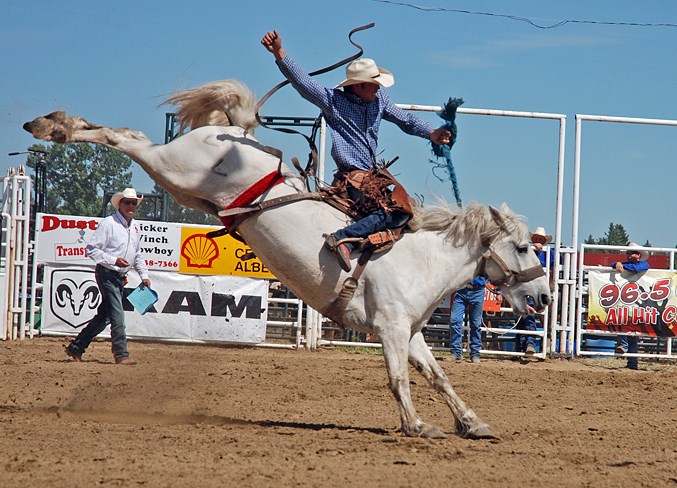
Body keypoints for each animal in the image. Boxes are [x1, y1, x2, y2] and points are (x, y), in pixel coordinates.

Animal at [23, 79, 552, 438]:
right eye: (524, 247)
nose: (545, 297)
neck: (422, 259)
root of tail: (235, 133)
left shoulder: (411, 331)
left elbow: (437, 375)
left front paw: (472, 422)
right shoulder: (391, 330)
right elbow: (400, 379)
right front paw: (418, 426)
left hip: (184, 188)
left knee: (127, 137)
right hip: (173, 168)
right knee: (125, 138)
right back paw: (52, 125)